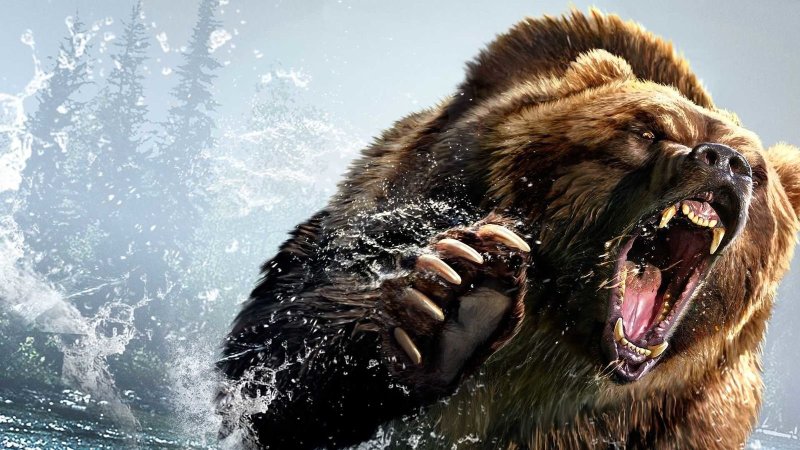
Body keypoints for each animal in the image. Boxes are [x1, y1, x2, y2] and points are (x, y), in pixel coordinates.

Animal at [216, 9, 800, 449]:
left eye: (757, 171)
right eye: (646, 130)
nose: (723, 161)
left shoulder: (681, 410)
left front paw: (464, 303)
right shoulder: (421, 199)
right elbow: (280, 357)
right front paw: (457, 302)